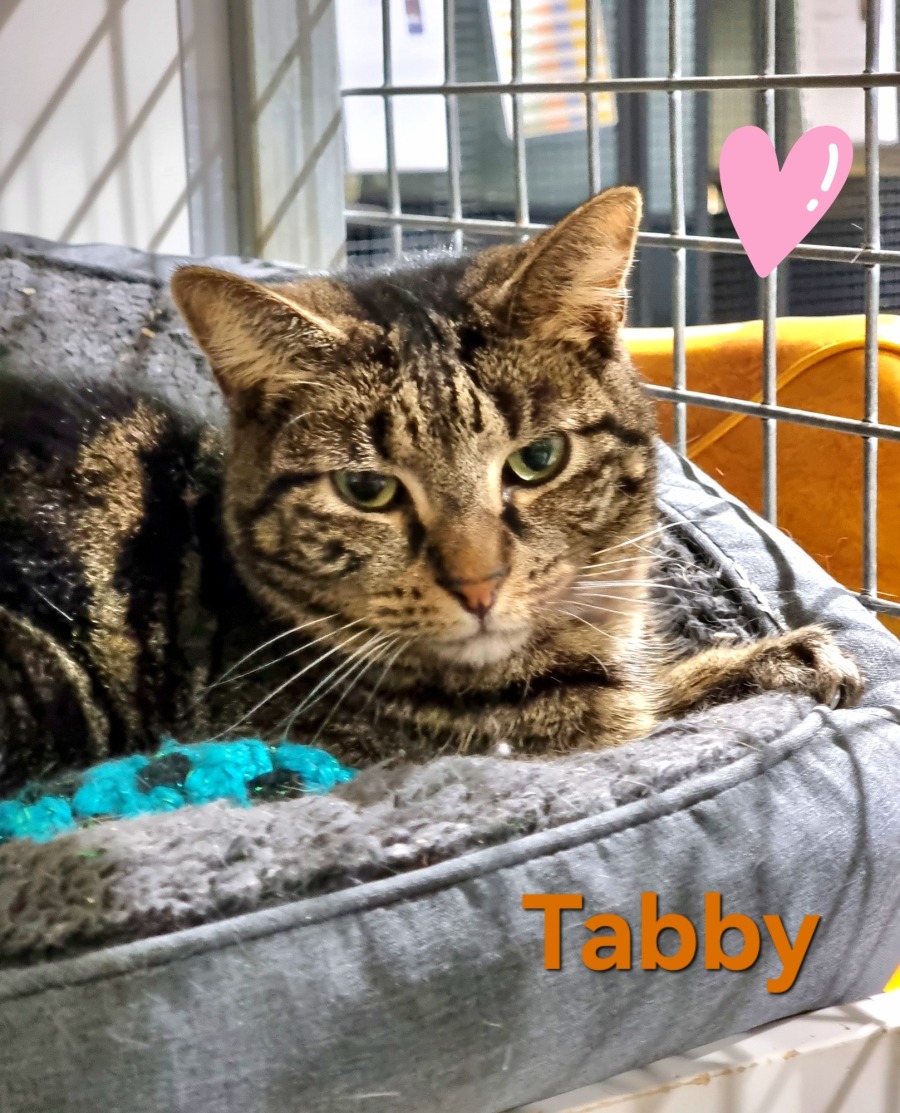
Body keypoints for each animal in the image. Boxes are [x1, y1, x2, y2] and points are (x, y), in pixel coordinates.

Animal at [0, 186, 863, 792]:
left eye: (538, 457)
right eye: (366, 489)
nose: (479, 584)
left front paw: (782, 659)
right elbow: (647, 715)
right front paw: (774, 660)